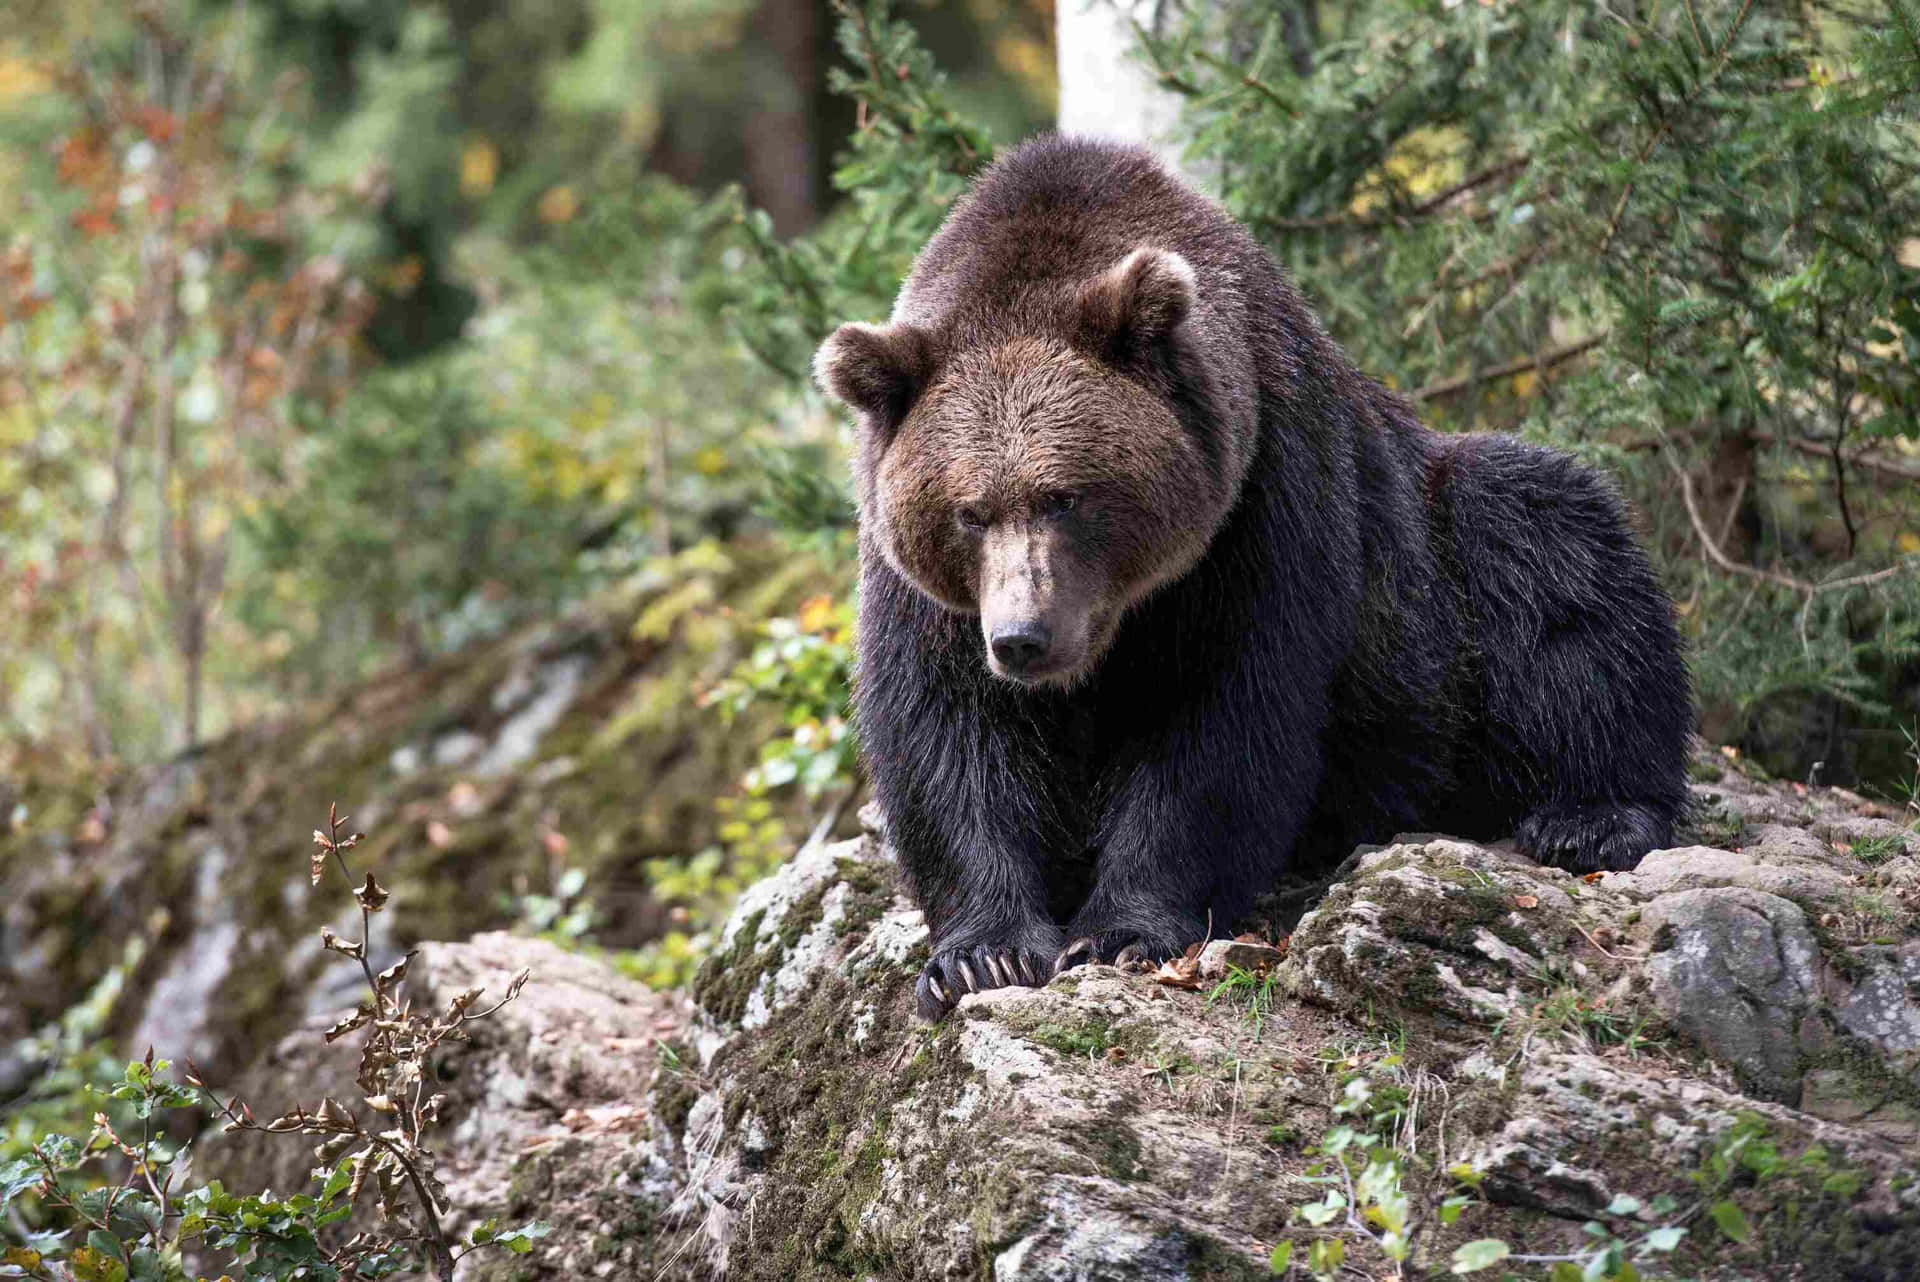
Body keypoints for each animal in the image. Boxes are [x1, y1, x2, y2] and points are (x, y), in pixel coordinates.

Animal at [814, 135, 1692, 1020]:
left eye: (1065, 496)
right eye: (969, 512)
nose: (1025, 639)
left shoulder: (1261, 502)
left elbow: (1222, 720)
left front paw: (1125, 931)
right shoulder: (923, 590)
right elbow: (947, 734)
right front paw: (980, 954)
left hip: (1439, 586)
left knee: (1551, 553)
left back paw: (1592, 816)